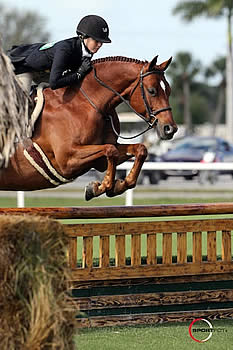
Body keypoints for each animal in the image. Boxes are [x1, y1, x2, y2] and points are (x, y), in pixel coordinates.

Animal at [0, 54, 177, 200]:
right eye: (152, 91)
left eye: (169, 90)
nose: (170, 129)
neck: (86, 103)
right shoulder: (67, 160)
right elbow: (110, 150)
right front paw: (99, 187)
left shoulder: (98, 161)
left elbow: (139, 149)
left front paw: (118, 185)